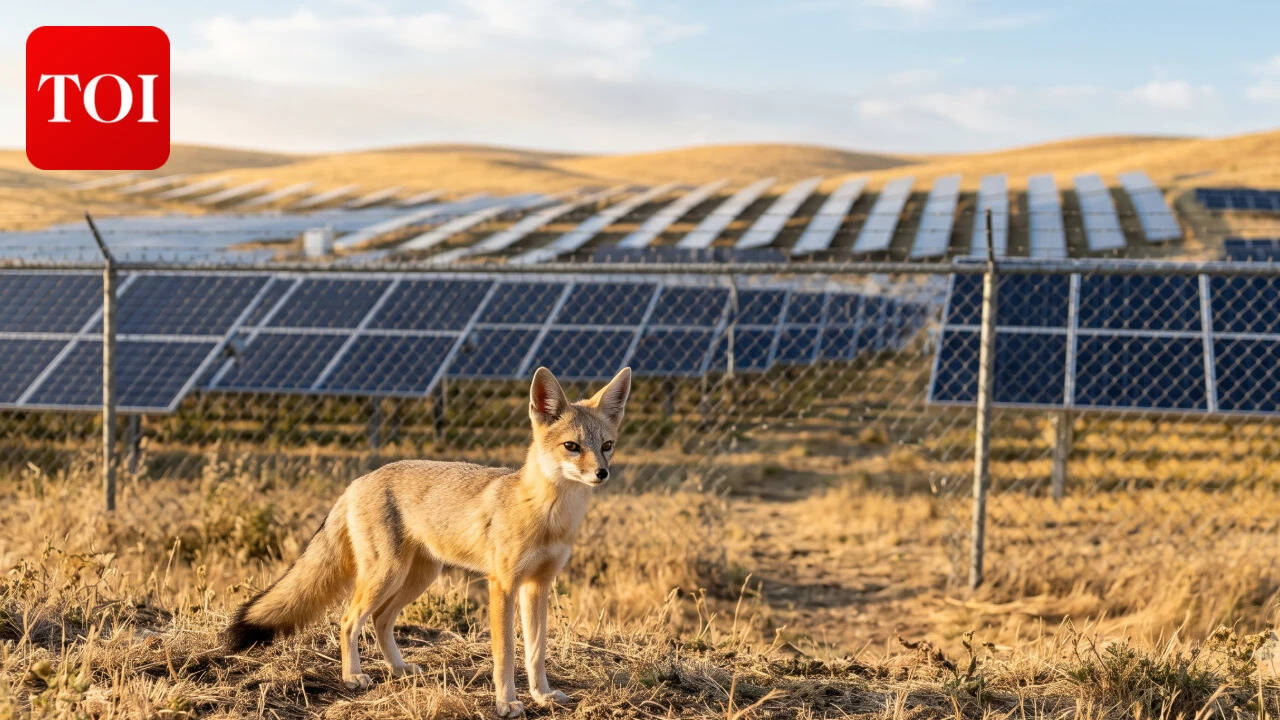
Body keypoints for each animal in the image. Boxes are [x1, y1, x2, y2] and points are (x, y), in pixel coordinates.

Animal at [224, 366, 632, 717]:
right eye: (572, 446)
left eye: (607, 445)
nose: (602, 473)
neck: (546, 515)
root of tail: (357, 481)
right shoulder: (502, 585)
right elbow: (505, 654)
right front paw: (506, 703)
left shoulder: (538, 585)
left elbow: (535, 651)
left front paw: (542, 695)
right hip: (386, 575)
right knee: (349, 619)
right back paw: (352, 676)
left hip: (418, 577)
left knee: (380, 620)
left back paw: (399, 668)